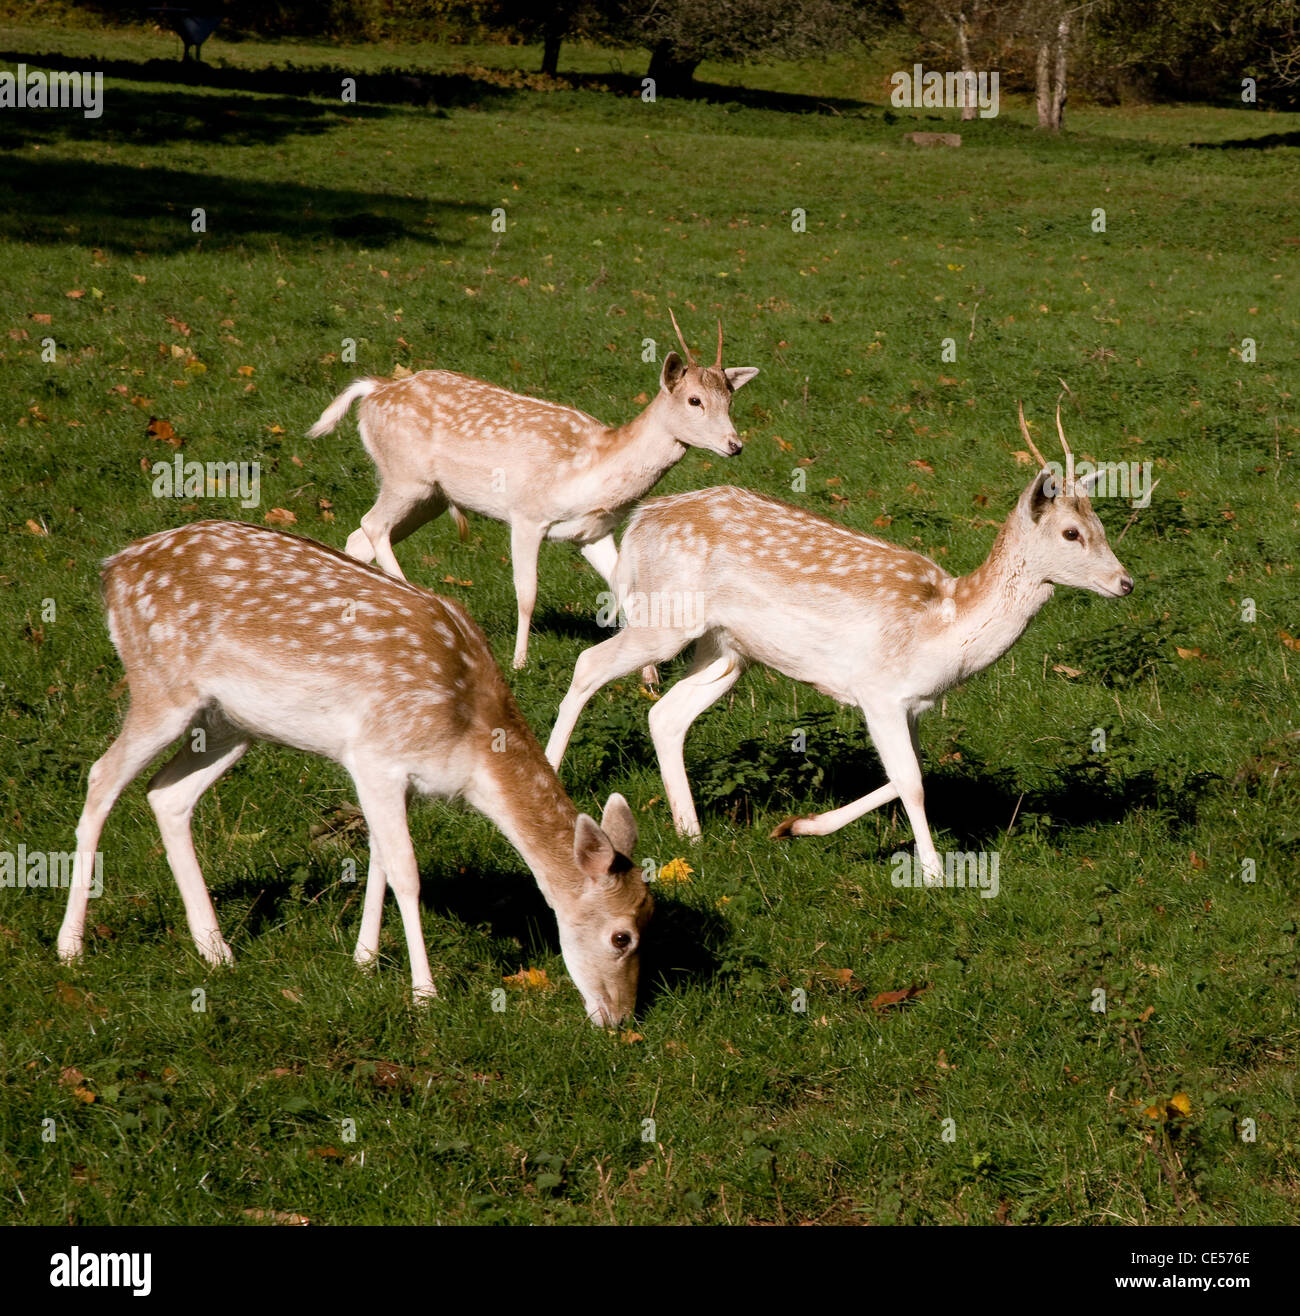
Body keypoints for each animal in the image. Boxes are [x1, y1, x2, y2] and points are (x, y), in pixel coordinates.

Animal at [58, 518, 650, 1021]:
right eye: (622, 937)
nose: (620, 1018)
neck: (470, 743)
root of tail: (113, 570)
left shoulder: (397, 778)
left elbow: (380, 859)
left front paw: (364, 961)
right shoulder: (377, 755)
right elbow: (406, 870)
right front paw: (425, 992)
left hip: (232, 722)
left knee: (166, 793)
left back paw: (217, 950)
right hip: (160, 685)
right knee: (101, 777)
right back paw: (71, 947)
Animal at [309, 313, 763, 668]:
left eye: (730, 400)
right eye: (694, 400)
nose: (735, 444)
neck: (590, 469)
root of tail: (374, 390)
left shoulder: (592, 533)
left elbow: (625, 591)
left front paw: (647, 677)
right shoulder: (527, 515)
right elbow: (526, 593)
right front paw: (519, 661)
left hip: (430, 496)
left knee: (360, 535)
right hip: (405, 476)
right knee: (372, 525)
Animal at [542, 397, 1131, 873]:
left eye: (1102, 526)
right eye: (1071, 533)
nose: (1124, 582)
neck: (943, 626)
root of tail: (640, 522)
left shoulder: (912, 704)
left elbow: (909, 775)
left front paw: (795, 827)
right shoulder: (877, 690)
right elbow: (912, 782)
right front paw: (934, 874)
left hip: (726, 650)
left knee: (665, 715)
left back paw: (692, 832)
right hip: (666, 619)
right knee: (590, 664)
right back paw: (549, 777)